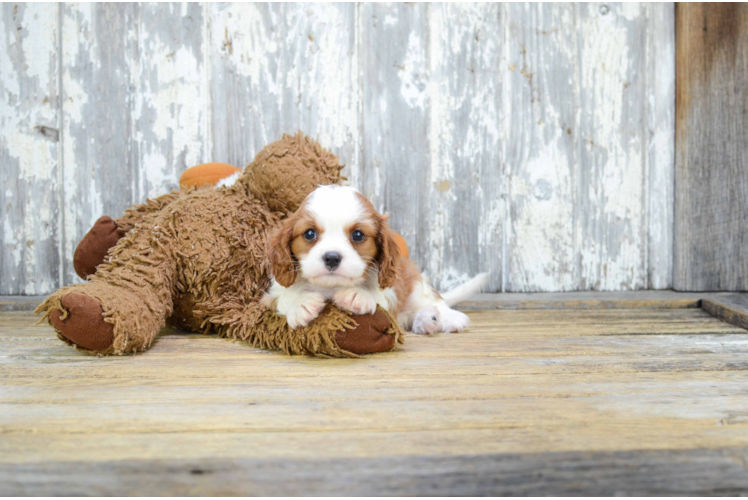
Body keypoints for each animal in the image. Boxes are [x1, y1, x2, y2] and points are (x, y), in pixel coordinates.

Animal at [260, 186, 488, 334]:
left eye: (358, 235)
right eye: (309, 234)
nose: (332, 257)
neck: (332, 287)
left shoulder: (390, 291)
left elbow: (377, 295)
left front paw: (358, 295)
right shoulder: (270, 297)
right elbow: (285, 296)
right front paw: (301, 303)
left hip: (415, 285)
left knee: (433, 301)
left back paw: (444, 317)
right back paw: (426, 320)